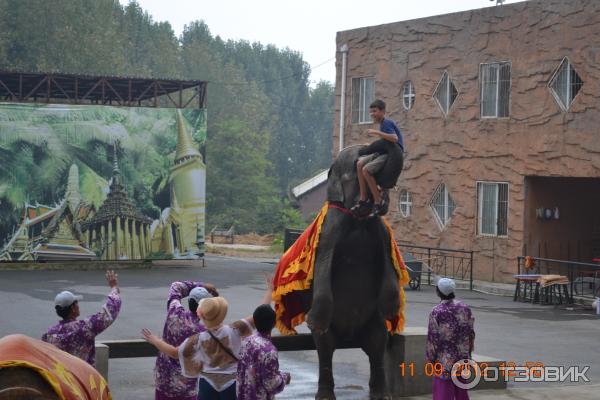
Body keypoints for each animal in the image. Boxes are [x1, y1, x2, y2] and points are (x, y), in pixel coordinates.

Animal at [304, 145, 404, 400]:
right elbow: (323, 265)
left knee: (378, 344)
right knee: (325, 347)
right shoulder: (329, 231)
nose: (376, 152)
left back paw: (381, 394)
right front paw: (313, 321)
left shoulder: (380, 231)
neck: (359, 220)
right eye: (357, 159)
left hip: (373, 324)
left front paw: (391, 310)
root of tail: (349, 337)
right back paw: (325, 395)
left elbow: (389, 265)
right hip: (332, 334)